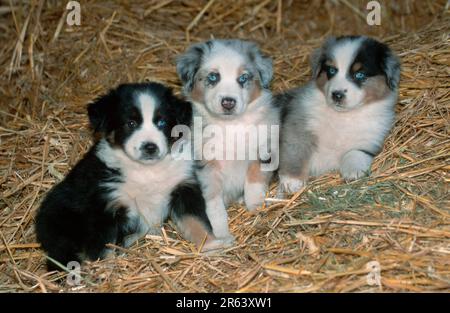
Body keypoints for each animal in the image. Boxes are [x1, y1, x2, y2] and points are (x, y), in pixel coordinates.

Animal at [177, 39, 280, 241]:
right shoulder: (206, 167)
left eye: (243, 78)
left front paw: (256, 209)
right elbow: (214, 206)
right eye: (213, 77)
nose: (228, 102)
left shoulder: (261, 151)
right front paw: (221, 233)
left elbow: (254, 183)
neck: (230, 125)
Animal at [278, 35, 400, 194]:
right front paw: (292, 181)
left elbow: (355, 152)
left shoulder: (369, 141)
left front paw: (354, 172)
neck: (343, 117)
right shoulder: (297, 126)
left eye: (359, 74)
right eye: (331, 70)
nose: (337, 94)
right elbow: (296, 151)